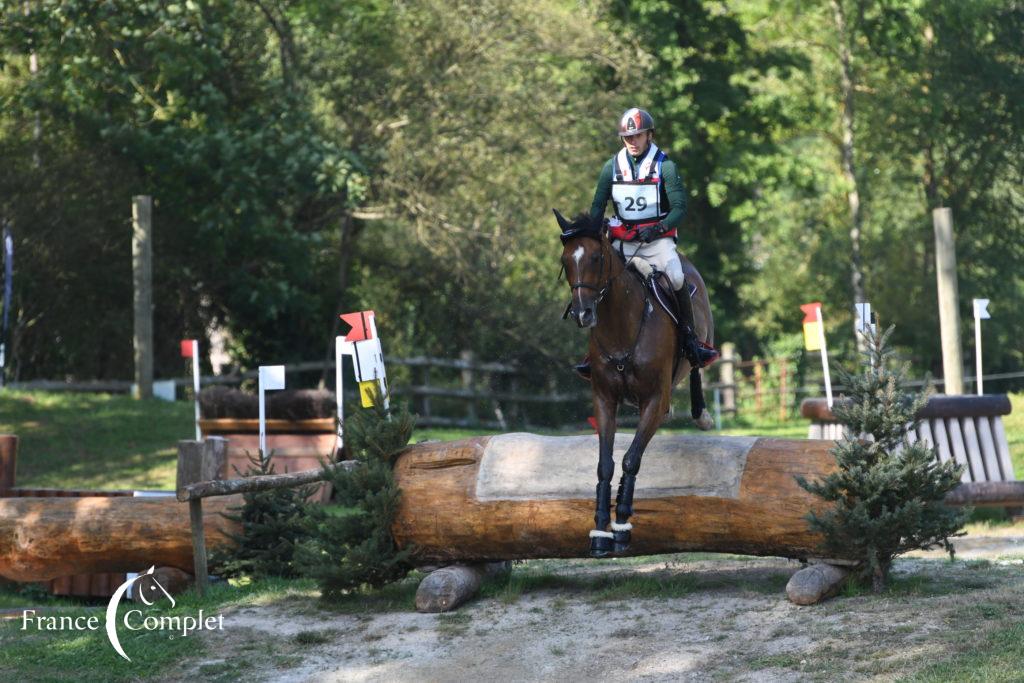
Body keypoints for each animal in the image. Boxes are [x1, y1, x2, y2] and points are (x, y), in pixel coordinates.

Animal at [557, 210, 716, 557]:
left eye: (597, 257)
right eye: (565, 260)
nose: (582, 313)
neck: (622, 325)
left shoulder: (655, 401)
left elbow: (631, 459)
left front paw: (621, 527)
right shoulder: (604, 399)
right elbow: (605, 463)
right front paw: (600, 531)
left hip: (701, 332)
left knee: (698, 363)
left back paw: (702, 414)